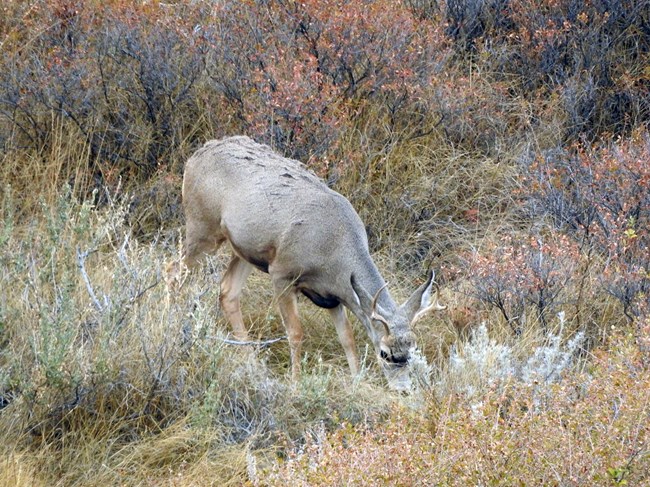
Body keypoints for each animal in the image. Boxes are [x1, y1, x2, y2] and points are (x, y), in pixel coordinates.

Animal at [174, 136, 445, 390]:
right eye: (384, 353)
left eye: (412, 351)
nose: (403, 390)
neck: (334, 250)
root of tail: (195, 156)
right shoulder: (282, 273)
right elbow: (296, 332)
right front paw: (295, 381)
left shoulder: (334, 294)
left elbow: (347, 337)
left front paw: (356, 380)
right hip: (202, 228)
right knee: (176, 274)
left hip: (244, 250)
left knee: (227, 291)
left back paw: (250, 361)